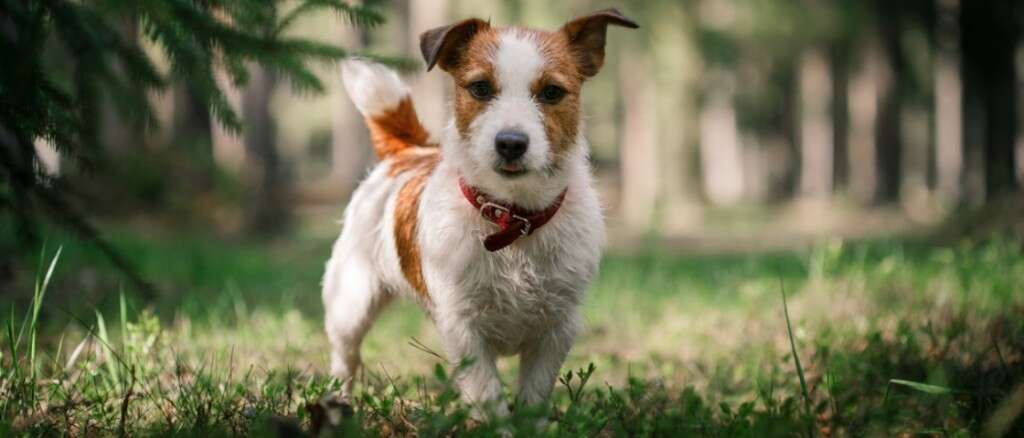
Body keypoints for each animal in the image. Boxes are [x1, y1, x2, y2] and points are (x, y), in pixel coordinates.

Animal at [323, 8, 634, 415]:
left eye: (552, 92)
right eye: (481, 88)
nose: (511, 143)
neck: (512, 219)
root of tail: (411, 150)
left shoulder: (556, 330)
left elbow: (533, 398)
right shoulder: (464, 330)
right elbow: (487, 396)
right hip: (351, 304)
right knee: (344, 359)